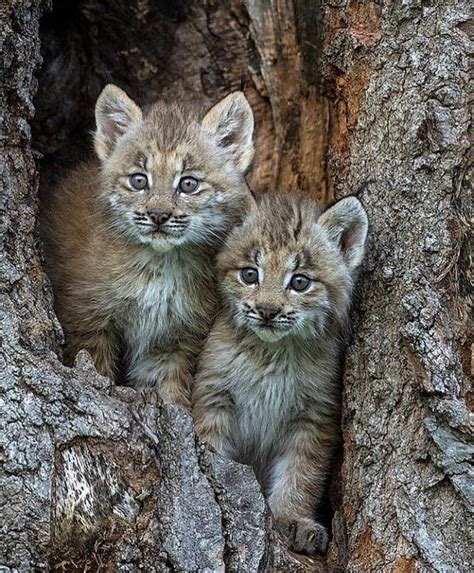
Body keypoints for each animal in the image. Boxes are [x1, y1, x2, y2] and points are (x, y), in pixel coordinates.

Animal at [41, 85, 256, 406]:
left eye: (189, 184)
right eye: (139, 180)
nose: (158, 215)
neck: (160, 263)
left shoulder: (172, 339)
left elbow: (166, 385)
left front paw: (175, 410)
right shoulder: (87, 318)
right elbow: (95, 369)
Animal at [191, 193, 368, 556]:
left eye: (300, 281)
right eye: (249, 275)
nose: (267, 311)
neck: (272, 355)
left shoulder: (315, 416)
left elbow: (302, 472)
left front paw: (292, 518)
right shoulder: (214, 395)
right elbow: (213, 451)